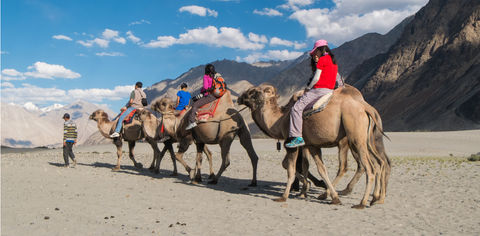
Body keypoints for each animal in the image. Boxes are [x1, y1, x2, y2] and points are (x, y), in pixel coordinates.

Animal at [237, 83, 390, 208]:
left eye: (252, 92)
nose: (239, 98)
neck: (280, 120)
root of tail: (365, 108)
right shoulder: (311, 145)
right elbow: (315, 168)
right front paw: (324, 195)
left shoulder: (291, 143)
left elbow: (289, 167)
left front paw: (284, 196)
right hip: (366, 140)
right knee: (379, 162)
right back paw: (375, 198)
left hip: (353, 139)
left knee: (359, 167)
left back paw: (361, 202)